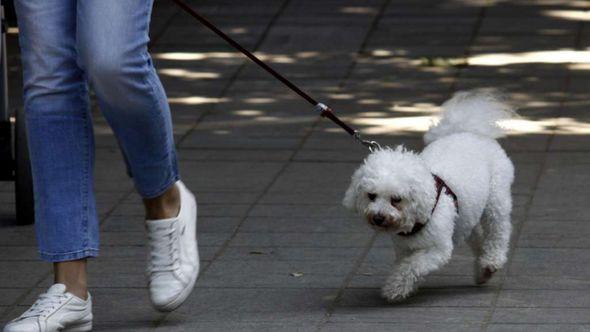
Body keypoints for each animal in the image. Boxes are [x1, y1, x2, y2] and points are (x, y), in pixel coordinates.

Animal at [344, 89, 516, 302]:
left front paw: (394, 287)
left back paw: (492, 260)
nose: (378, 218)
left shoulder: (438, 249)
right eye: (371, 196)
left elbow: (411, 266)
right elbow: (405, 265)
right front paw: (402, 287)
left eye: (396, 199)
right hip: (466, 216)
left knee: (498, 230)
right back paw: (482, 270)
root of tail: (467, 131)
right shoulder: (405, 249)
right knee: (477, 235)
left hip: (496, 198)